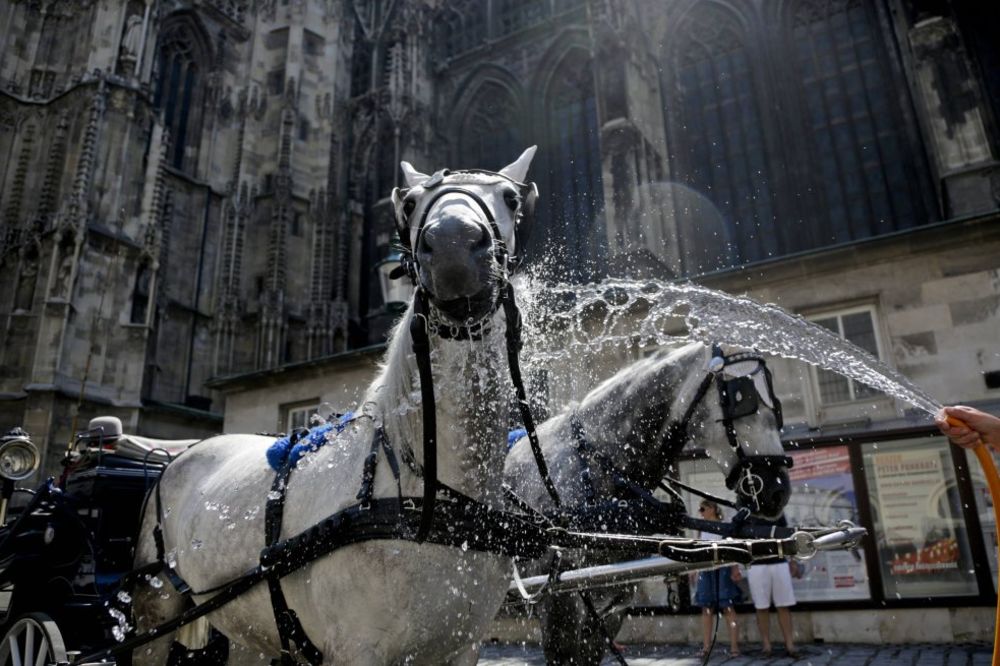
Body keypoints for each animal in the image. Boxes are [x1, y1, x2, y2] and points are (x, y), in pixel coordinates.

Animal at [133, 147, 544, 664]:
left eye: (511, 198)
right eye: (409, 203)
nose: (453, 246)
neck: (429, 493)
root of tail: (179, 455)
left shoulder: (463, 648)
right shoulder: (357, 651)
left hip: (248, 627)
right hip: (154, 613)